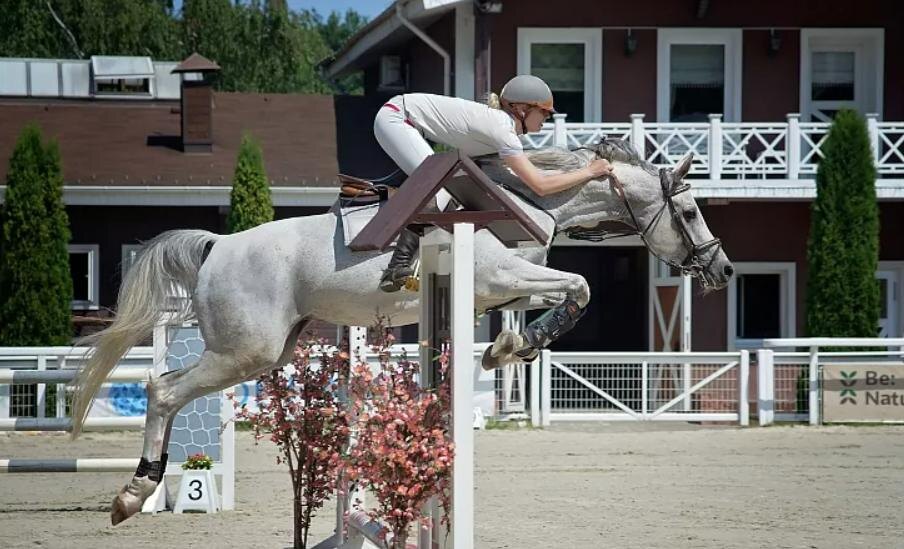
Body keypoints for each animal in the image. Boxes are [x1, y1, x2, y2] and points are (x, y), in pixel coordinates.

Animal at [72, 138, 736, 524]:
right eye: (691, 211)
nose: (724, 270)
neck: (528, 196)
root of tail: (216, 246)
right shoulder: (499, 275)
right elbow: (578, 285)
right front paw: (514, 346)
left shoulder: (501, 286)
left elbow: (555, 296)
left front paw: (508, 347)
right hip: (246, 352)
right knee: (162, 389)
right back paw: (134, 493)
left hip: (264, 350)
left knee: (169, 386)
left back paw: (141, 488)